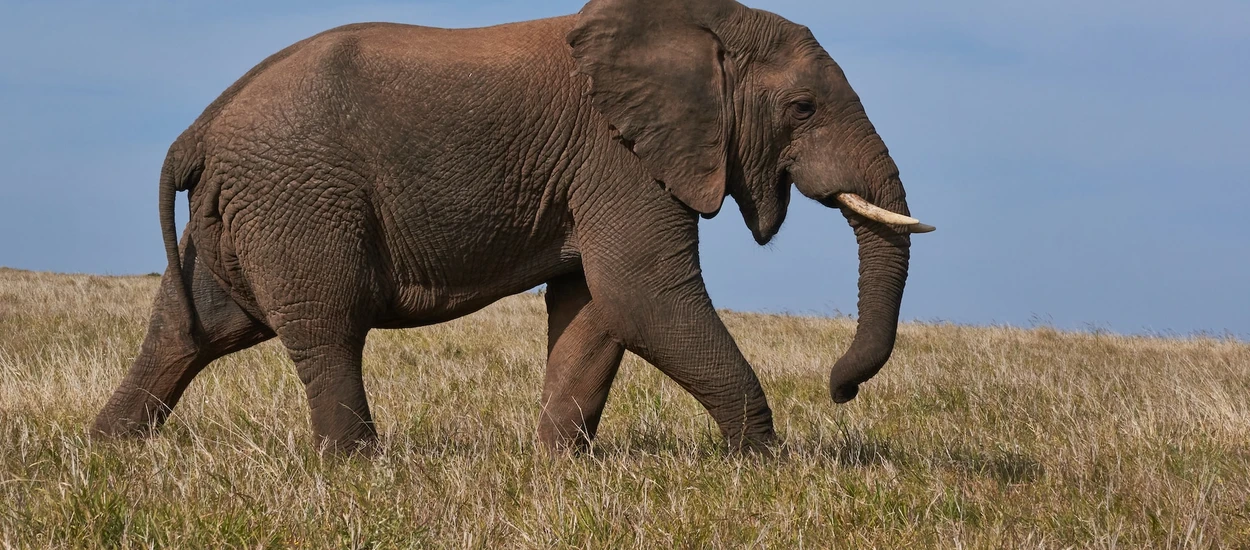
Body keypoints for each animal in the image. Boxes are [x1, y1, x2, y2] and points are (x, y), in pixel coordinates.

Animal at [92, 0, 935, 452]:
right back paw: (359, 467)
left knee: (190, 329)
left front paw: (561, 468)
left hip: (246, 211)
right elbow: (644, 295)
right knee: (325, 328)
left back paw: (110, 449)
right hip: (299, 199)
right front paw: (764, 461)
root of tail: (199, 130)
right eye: (803, 108)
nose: (840, 391)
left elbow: (594, 309)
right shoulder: (616, 157)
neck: (697, 22)